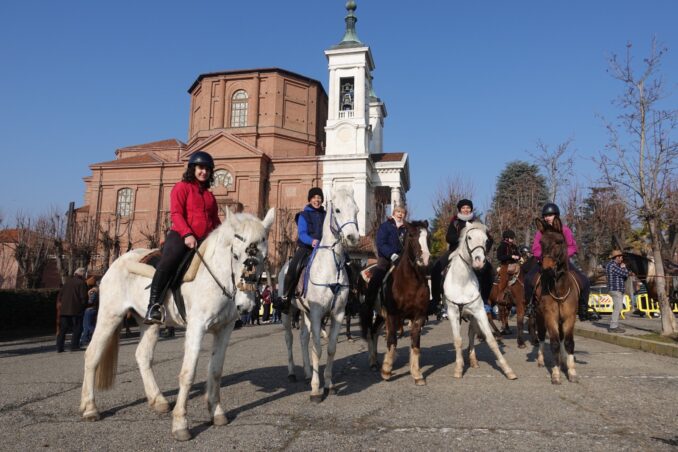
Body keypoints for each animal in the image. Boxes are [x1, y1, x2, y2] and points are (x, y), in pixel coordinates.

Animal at [77, 209, 274, 442]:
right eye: (235, 255)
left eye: (264, 257)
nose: (246, 305)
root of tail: (116, 263)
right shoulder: (196, 327)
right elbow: (188, 373)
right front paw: (181, 423)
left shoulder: (224, 329)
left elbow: (215, 371)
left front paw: (216, 412)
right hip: (110, 315)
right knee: (92, 354)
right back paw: (90, 408)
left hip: (149, 323)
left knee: (142, 355)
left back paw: (158, 400)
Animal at [280, 187, 362, 402]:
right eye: (338, 210)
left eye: (357, 210)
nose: (353, 237)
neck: (331, 265)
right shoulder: (318, 314)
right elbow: (317, 348)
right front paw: (316, 390)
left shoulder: (337, 314)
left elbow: (330, 348)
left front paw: (329, 384)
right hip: (288, 313)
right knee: (289, 340)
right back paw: (291, 373)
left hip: (306, 313)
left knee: (302, 338)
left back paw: (308, 372)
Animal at [362, 219, 430, 384]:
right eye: (411, 235)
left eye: (428, 236)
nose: (424, 258)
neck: (410, 283)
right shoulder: (393, 316)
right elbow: (392, 340)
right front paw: (386, 371)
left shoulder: (418, 317)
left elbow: (415, 344)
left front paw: (417, 374)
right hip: (370, 311)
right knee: (370, 333)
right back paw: (373, 362)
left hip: (380, 315)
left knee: (374, 332)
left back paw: (375, 361)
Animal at [444, 222, 516, 382]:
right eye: (469, 237)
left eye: (486, 240)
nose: (479, 261)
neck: (462, 281)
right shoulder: (453, 313)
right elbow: (458, 340)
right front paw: (458, 368)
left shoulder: (479, 311)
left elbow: (491, 340)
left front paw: (508, 370)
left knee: (471, 333)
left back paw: (473, 360)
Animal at [532, 216, 580, 384]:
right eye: (541, 243)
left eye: (559, 242)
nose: (546, 268)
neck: (559, 288)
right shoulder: (550, 317)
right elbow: (553, 343)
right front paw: (556, 373)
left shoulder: (569, 317)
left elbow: (569, 342)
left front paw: (571, 372)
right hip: (539, 317)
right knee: (541, 337)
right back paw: (541, 360)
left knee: (562, 339)